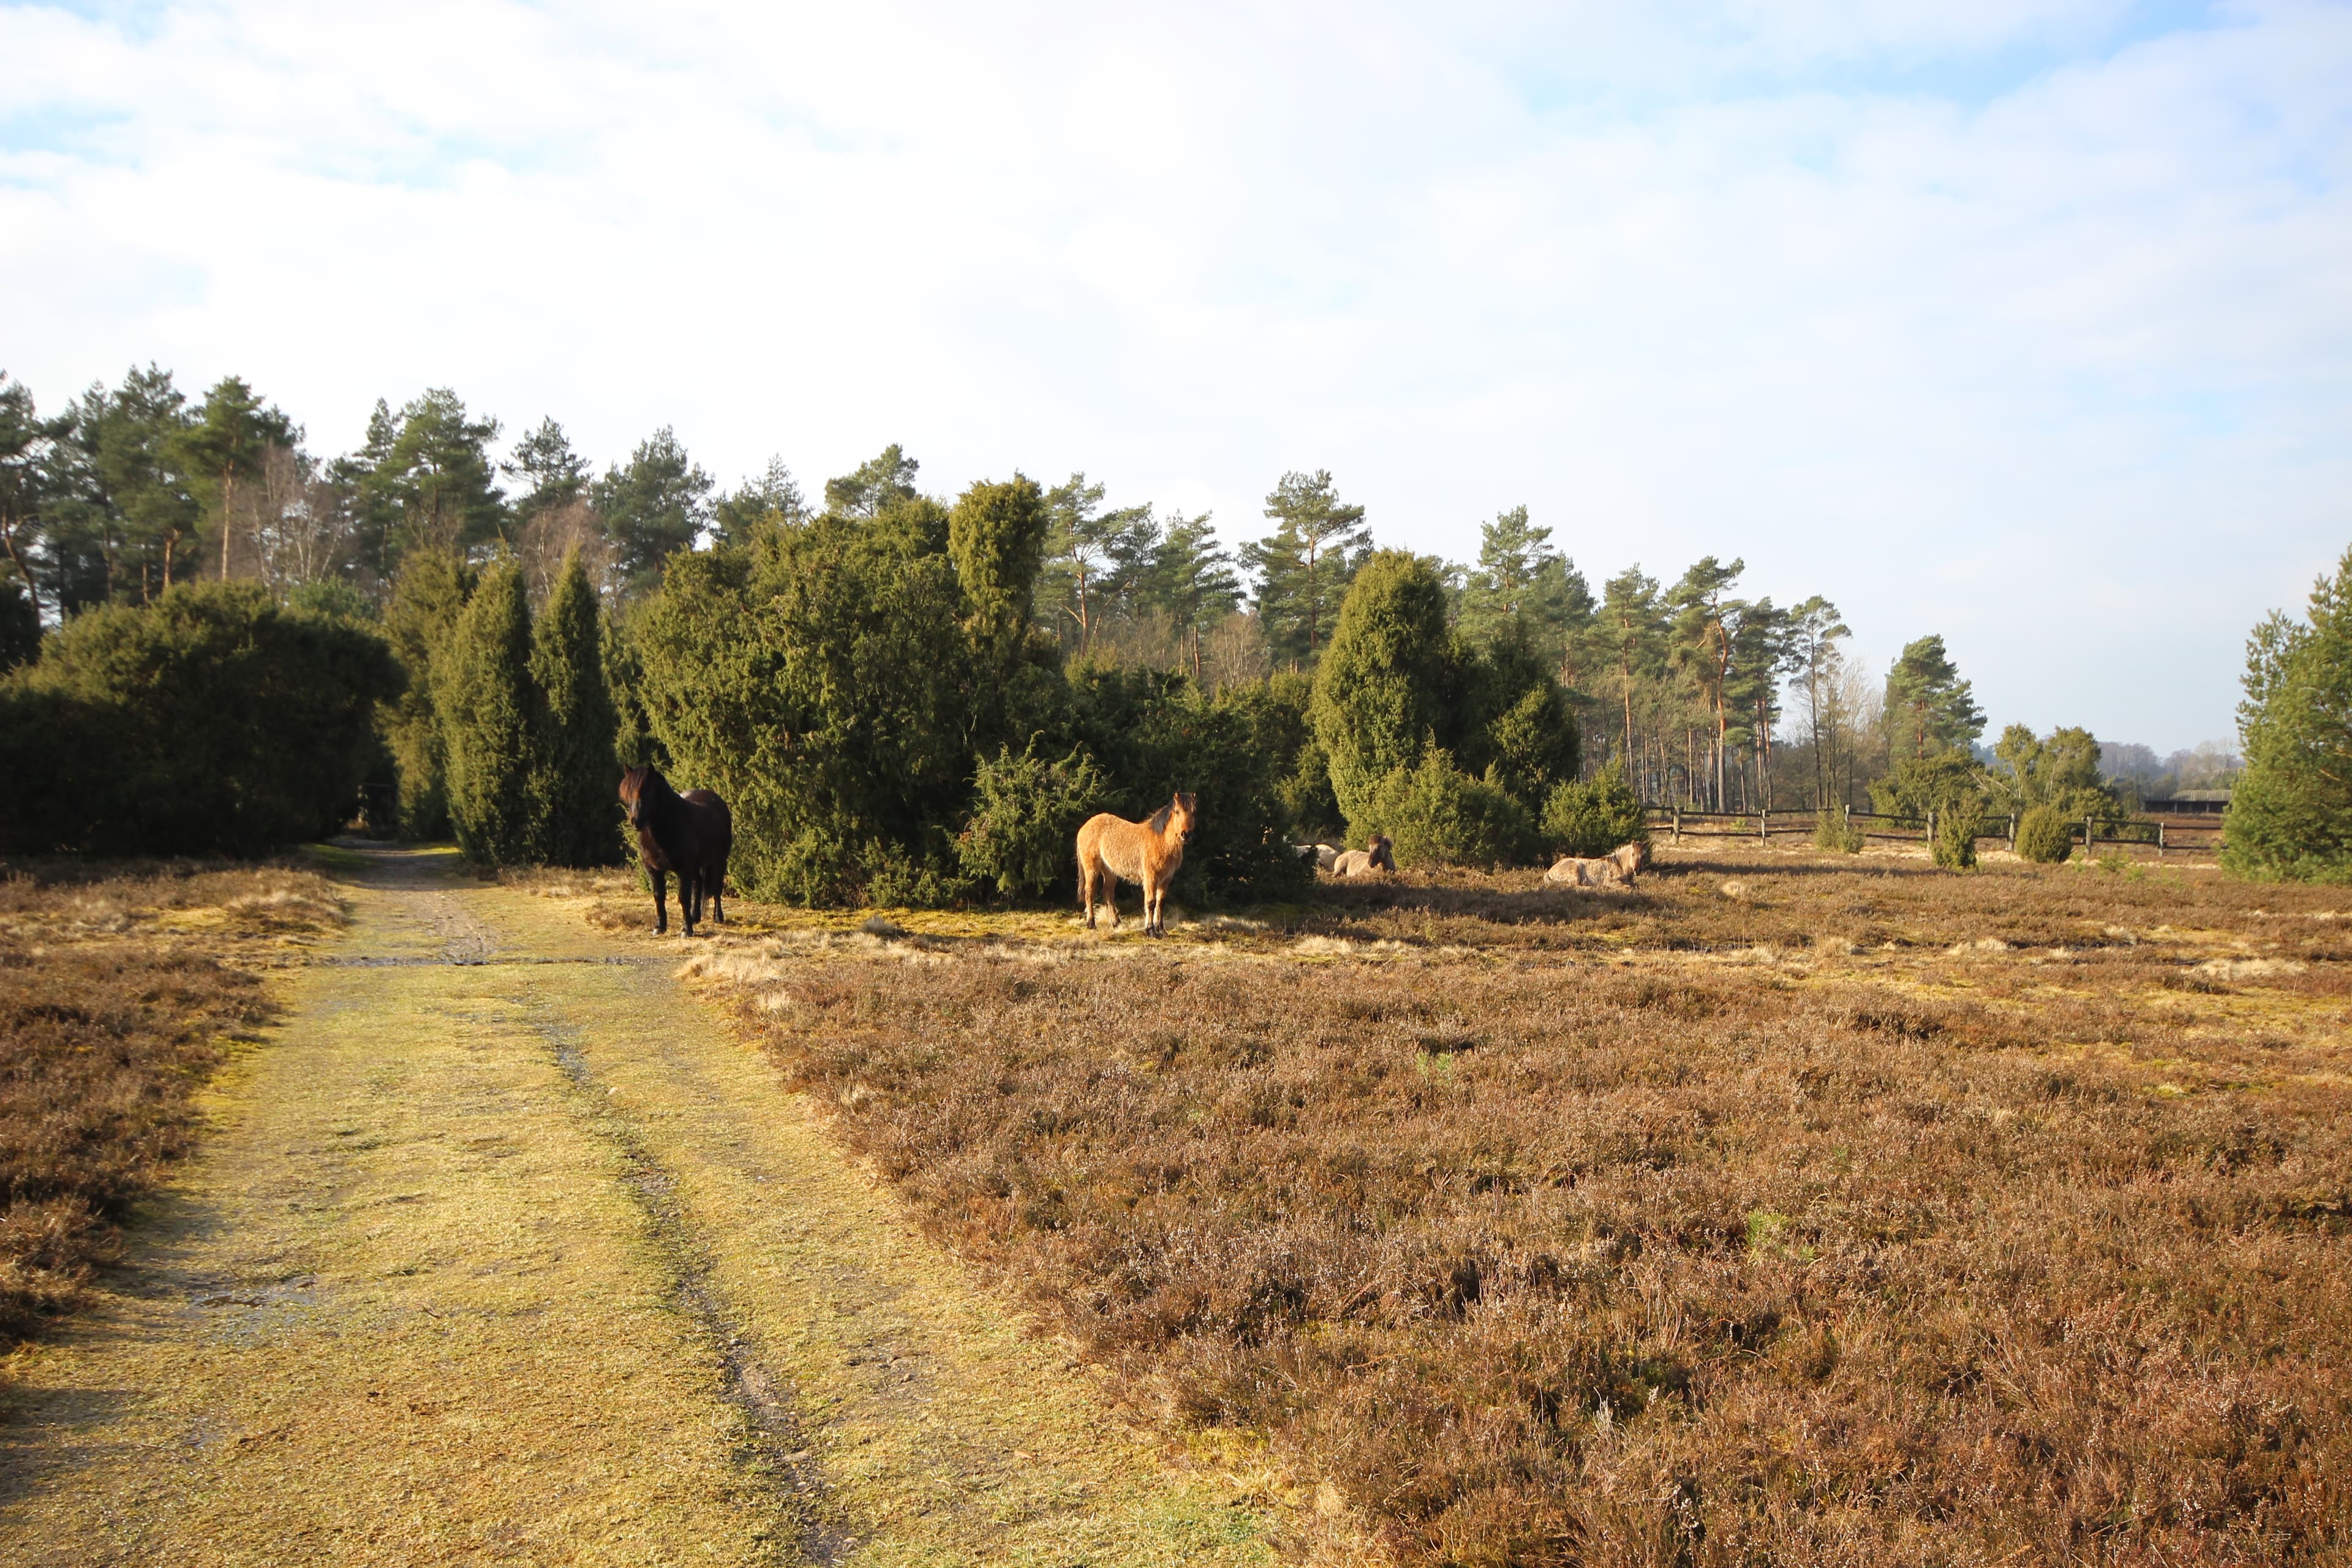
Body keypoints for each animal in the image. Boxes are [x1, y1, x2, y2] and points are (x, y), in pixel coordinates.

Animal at [616, 766, 734, 940]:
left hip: (720, 860)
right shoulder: (653, 869)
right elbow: (659, 896)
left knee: (717, 888)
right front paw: (659, 927)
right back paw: (695, 917)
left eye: (647, 791)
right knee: (698, 885)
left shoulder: (684, 869)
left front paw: (686, 930)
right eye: (628, 794)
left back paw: (718, 917)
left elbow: (683, 897)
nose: (636, 821)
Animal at [1077, 790, 1194, 940]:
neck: (1161, 840)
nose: (1186, 835)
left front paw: (1162, 930)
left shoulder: (1166, 879)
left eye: (1193, 812)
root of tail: (1085, 826)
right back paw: (1091, 924)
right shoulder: (1151, 877)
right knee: (1090, 892)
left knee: (1108, 894)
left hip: (1109, 871)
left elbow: (1161, 903)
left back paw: (1117, 923)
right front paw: (1151, 931)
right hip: (1091, 868)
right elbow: (1151, 902)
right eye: (1177, 811)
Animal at [1533, 842, 1646, 888]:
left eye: (1643, 856)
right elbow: (1628, 887)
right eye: (1633, 854)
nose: (1637, 870)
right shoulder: (1611, 882)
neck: (1619, 865)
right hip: (1576, 870)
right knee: (1575, 886)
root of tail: (1550, 871)